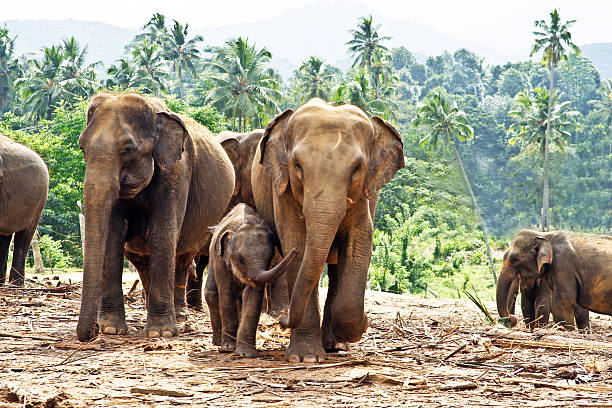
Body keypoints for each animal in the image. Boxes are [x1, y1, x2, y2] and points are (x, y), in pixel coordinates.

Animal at [76, 92, 234, 342]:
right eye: (82, 148)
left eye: (128, 149)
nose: (91, 333)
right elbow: (113, 233)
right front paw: (111, 329)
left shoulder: (177, 171)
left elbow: (163, 232)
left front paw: (162, 332)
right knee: (142, 261)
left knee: (182, 258)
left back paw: (180, 319)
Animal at [208, 204, 298, 356]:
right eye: (240, 259)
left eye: (270, 257)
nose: (296, 249)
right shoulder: (220, 261)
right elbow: (227, 294)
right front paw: (228, 348)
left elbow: (252, 295)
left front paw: (246, 353)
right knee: (212, 294)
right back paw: (218, 342)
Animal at [251, 99, 404, 364]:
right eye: (298, 165)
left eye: (357, 168)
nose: (282, 321)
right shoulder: (283, 191)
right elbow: (297, 243)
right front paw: (306, 358)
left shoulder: (364, 197)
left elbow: (359, 243)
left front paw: (358, 327)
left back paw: (336, 345)